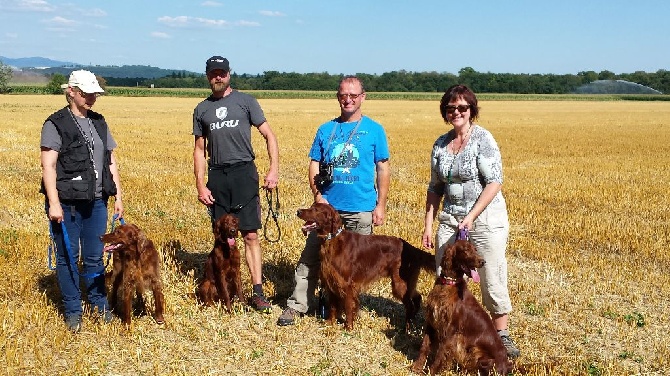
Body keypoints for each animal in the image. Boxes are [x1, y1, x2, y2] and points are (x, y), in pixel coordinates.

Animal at [298, 203, 436, 328]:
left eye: (316, 210)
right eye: (311, 206)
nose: (298, 211)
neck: (331, 241)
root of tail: (412, 248)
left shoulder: (347, 284)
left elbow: (348, 306)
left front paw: (348, 327)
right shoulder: (331, 281)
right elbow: (332, 305)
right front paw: (330, 323)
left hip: (400, 283)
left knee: (410, 304)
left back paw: (406, 328)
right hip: (407, 282)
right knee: (417, 297)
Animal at [410, 241, 516, 376]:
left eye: (475, 249)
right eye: (466, 250)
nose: (482, 261)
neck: (449, 283)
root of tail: (507, 364)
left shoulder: (450, 330)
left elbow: (440, 353)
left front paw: (431, 371)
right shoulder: (431, 321)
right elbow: (424, 346)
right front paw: (417, 367)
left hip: (478, 352)